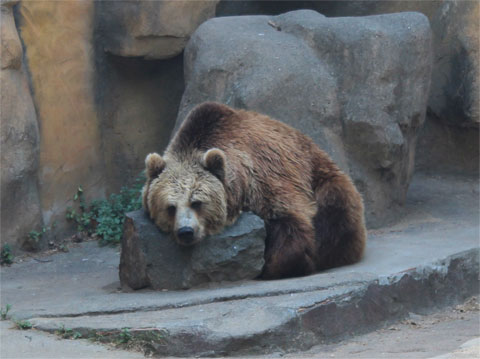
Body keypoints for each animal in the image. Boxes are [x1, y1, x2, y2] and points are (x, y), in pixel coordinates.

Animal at [142, 102, 368, 280]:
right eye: (170, 207)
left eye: (197, 202)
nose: (186, 232)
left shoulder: (265, 176)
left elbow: (290, 219)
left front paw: (273, 266)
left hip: (321, 175)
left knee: (336, 209)